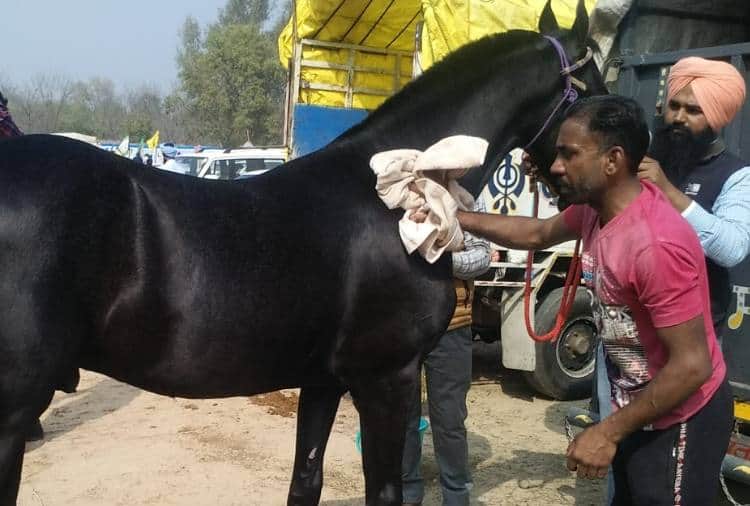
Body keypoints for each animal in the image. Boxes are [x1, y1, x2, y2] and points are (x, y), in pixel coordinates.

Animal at [0, 2, 605, 505]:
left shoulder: (323, 381)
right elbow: (384, 491)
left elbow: (304, 483)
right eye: (596, 85)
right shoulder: (387, 378)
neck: (388, 194)